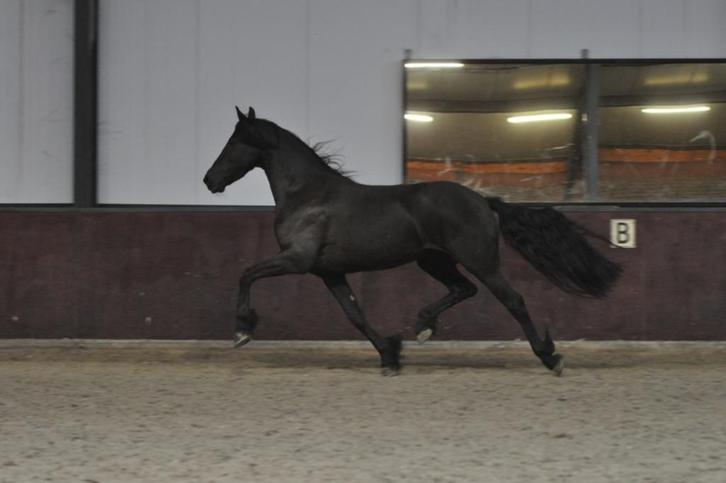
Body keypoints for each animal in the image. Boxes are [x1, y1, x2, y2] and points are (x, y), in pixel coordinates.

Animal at [203, 106, 622, 376]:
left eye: (233, 143)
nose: (209, 180)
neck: (308, 194)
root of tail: (483, 201)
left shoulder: (297, 260)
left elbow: (246, 273)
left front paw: (242, 331)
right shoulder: (329, 272)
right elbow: (355, 315)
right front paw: (390, 355)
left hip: (480, 261)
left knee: (512, 300)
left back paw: (551, 358)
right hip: (433, 260)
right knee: (463, 289)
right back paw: (423, 325)